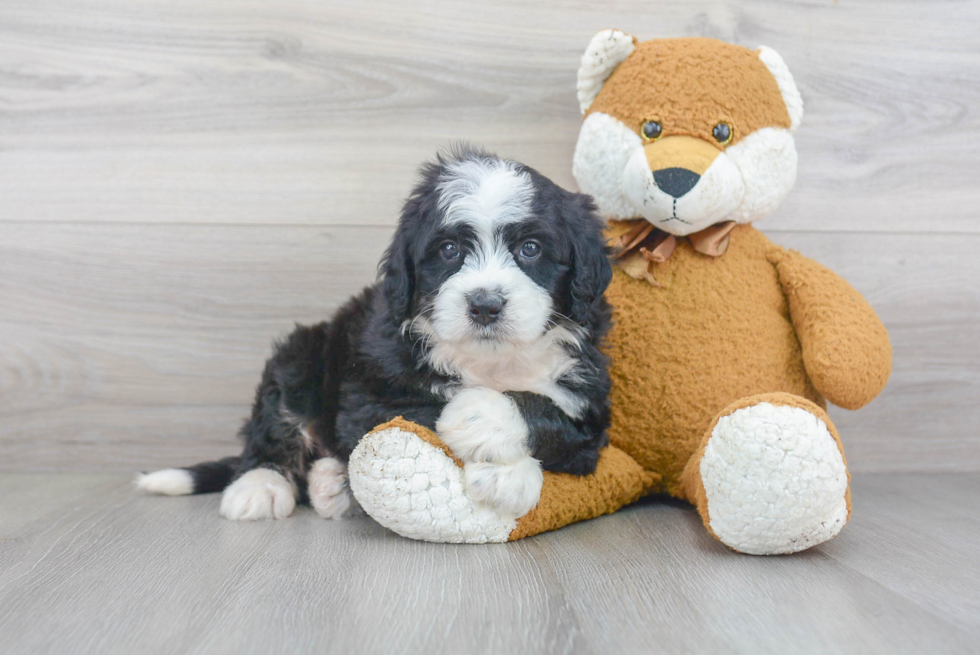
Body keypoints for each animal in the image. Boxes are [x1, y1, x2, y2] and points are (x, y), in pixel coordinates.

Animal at [138, 147, 612, 524]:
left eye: (531, 249)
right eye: (449, 251)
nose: (485, 304)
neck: (490, 362)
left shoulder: (590, 403)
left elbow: (556, 419)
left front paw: (497, 449)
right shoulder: (372, 392)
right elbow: (420, 414)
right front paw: (501, 458)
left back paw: (328, 484)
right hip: (303, 354)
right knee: (276, 422)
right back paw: (261, 486)